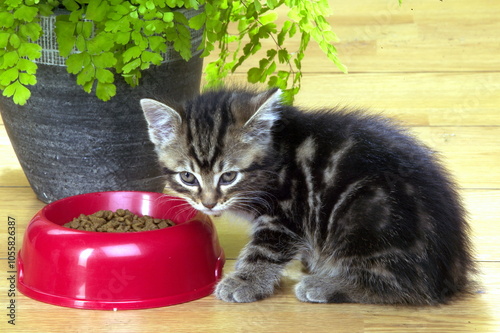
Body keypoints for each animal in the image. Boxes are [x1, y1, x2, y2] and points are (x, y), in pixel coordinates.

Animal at [139, 87, 474, 304]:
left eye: (229, 176)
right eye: (187, 177)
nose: (208, 204)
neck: (276, 152)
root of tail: (452, 272)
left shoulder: (286, 214)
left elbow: (264, 251)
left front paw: (244, 281)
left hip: (365, 213)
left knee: (405, 287)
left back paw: (326, 286)